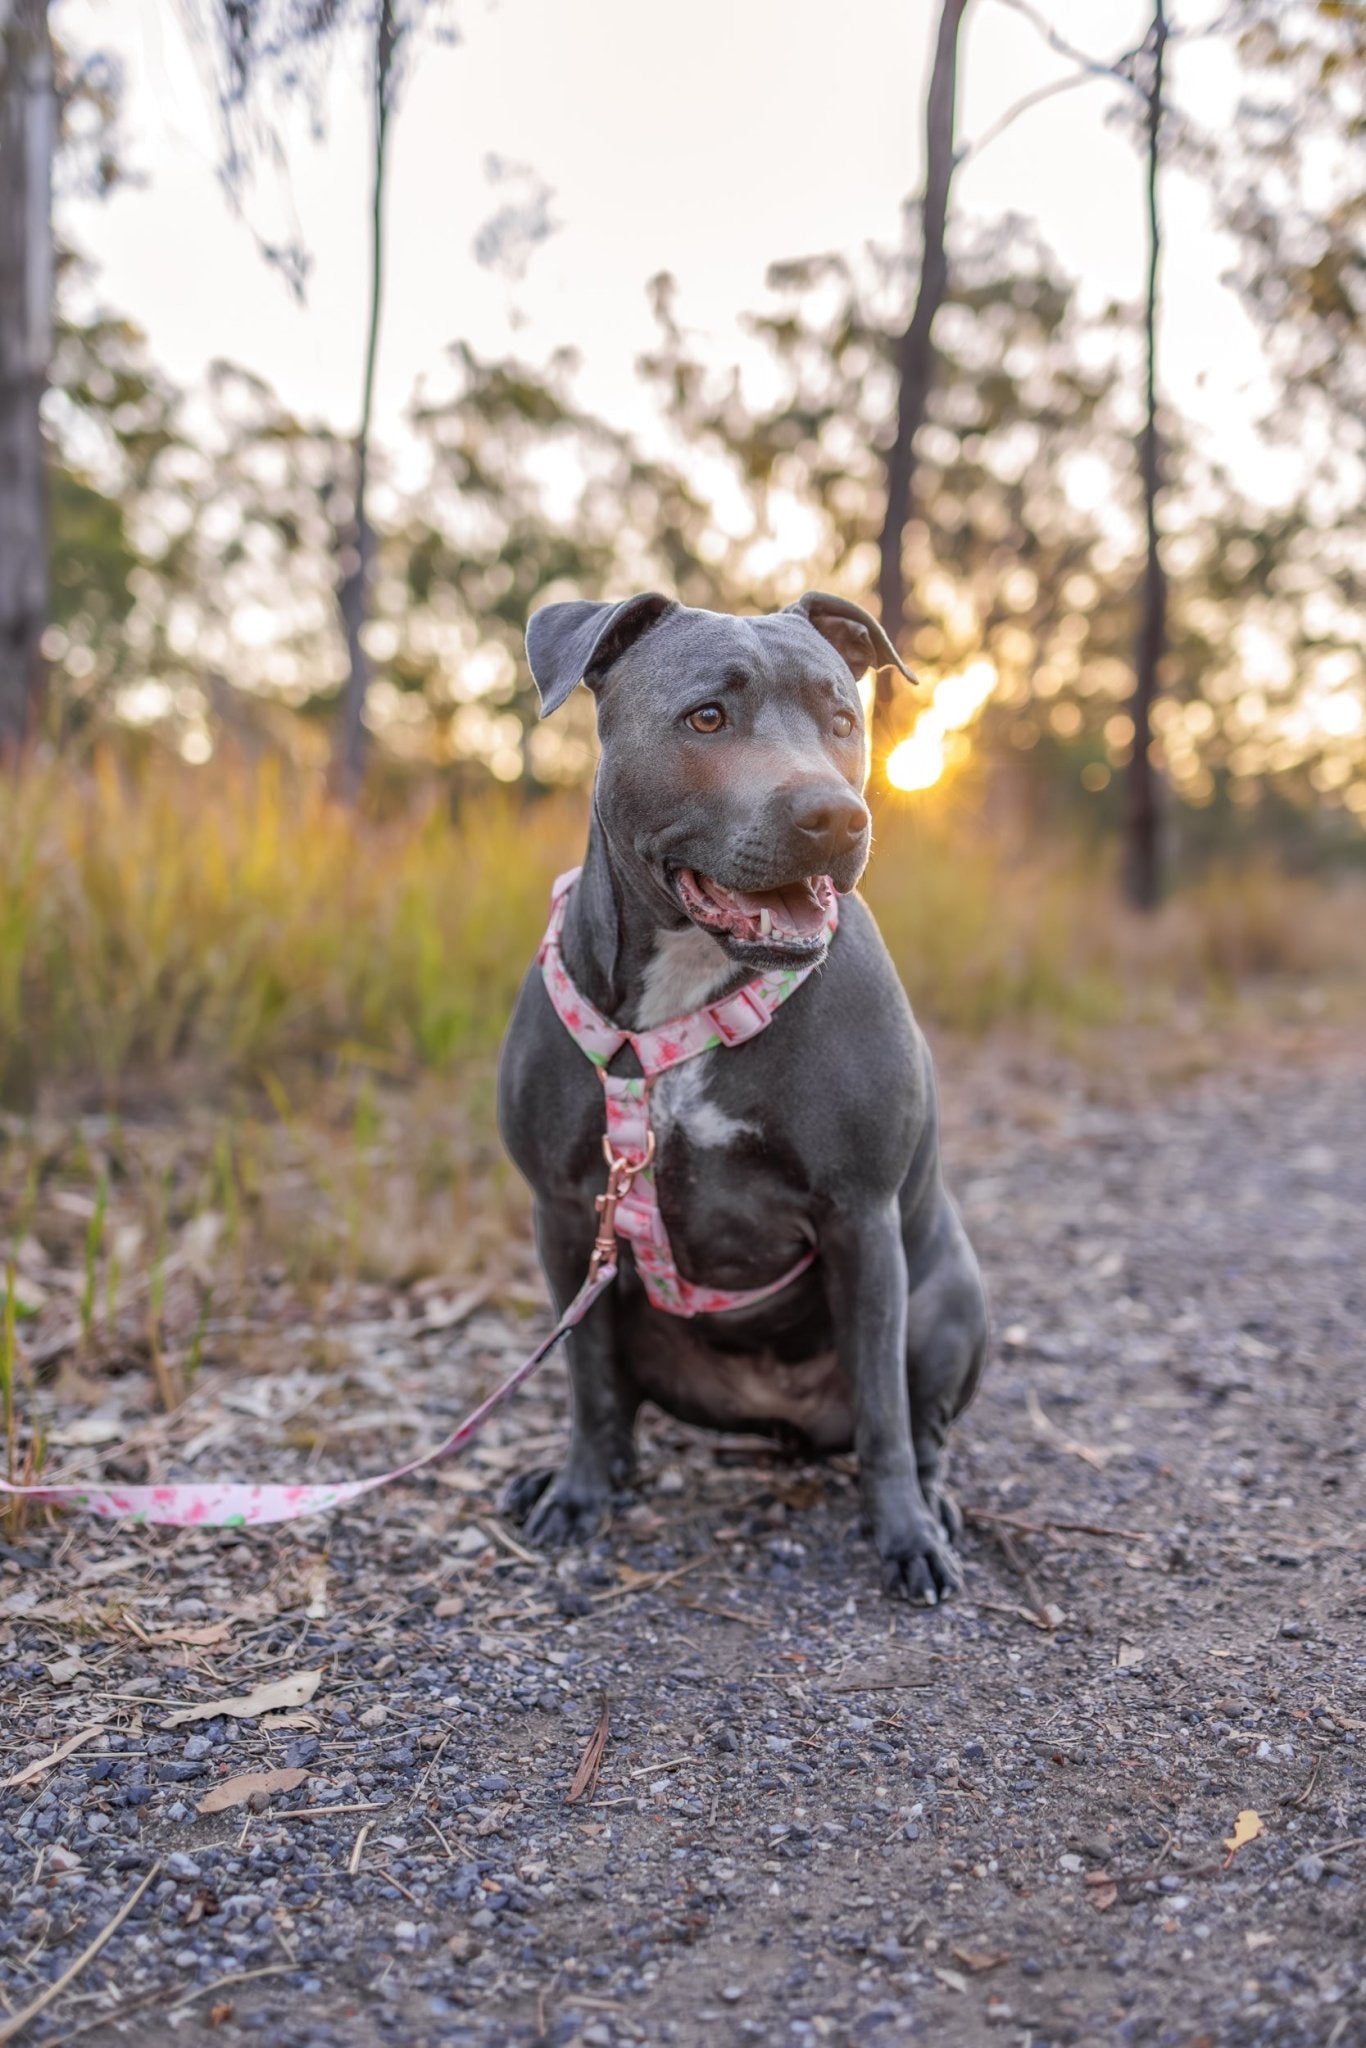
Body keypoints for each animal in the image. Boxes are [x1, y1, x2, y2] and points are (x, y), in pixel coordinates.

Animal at [497, 593, 987, 1597]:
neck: (694, 984)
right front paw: (577, 1490)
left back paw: (936, 1505)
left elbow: (885, 1413)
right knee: (619, 1392)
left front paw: (906, 1537)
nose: (835, 815)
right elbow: (588, 1382)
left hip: (949, 1304)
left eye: (843, 720)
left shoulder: (862, 1219)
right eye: (706, 718)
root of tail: (782, 1416)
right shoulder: (564, 1215)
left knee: (918, 1423)